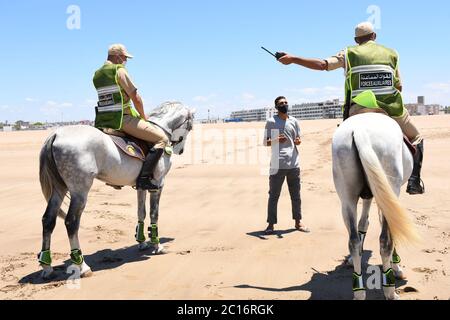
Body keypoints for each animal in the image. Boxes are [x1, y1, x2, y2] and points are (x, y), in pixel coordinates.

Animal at [38, 103, 193, 280]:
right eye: (190, 126)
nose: (180, 150)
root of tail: (56, 134)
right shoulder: (158, 185)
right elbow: (154, 214)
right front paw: (157, 245)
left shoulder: (142, 186)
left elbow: (141, 213)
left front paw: (142, 242)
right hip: (79, 191)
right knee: (71, 222)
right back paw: (82, 266)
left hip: (59, 189)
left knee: (48, 220)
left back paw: (47, 267)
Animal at [332, 113, 420, 300]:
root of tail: (360, 130)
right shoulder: (388, 197)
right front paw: (397, 267)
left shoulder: (369, 195)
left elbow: (363, 223)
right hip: (390, 186)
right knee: (385, 241)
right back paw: (390, 291)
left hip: (347, 198)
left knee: (353, 241)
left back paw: (359, 291)